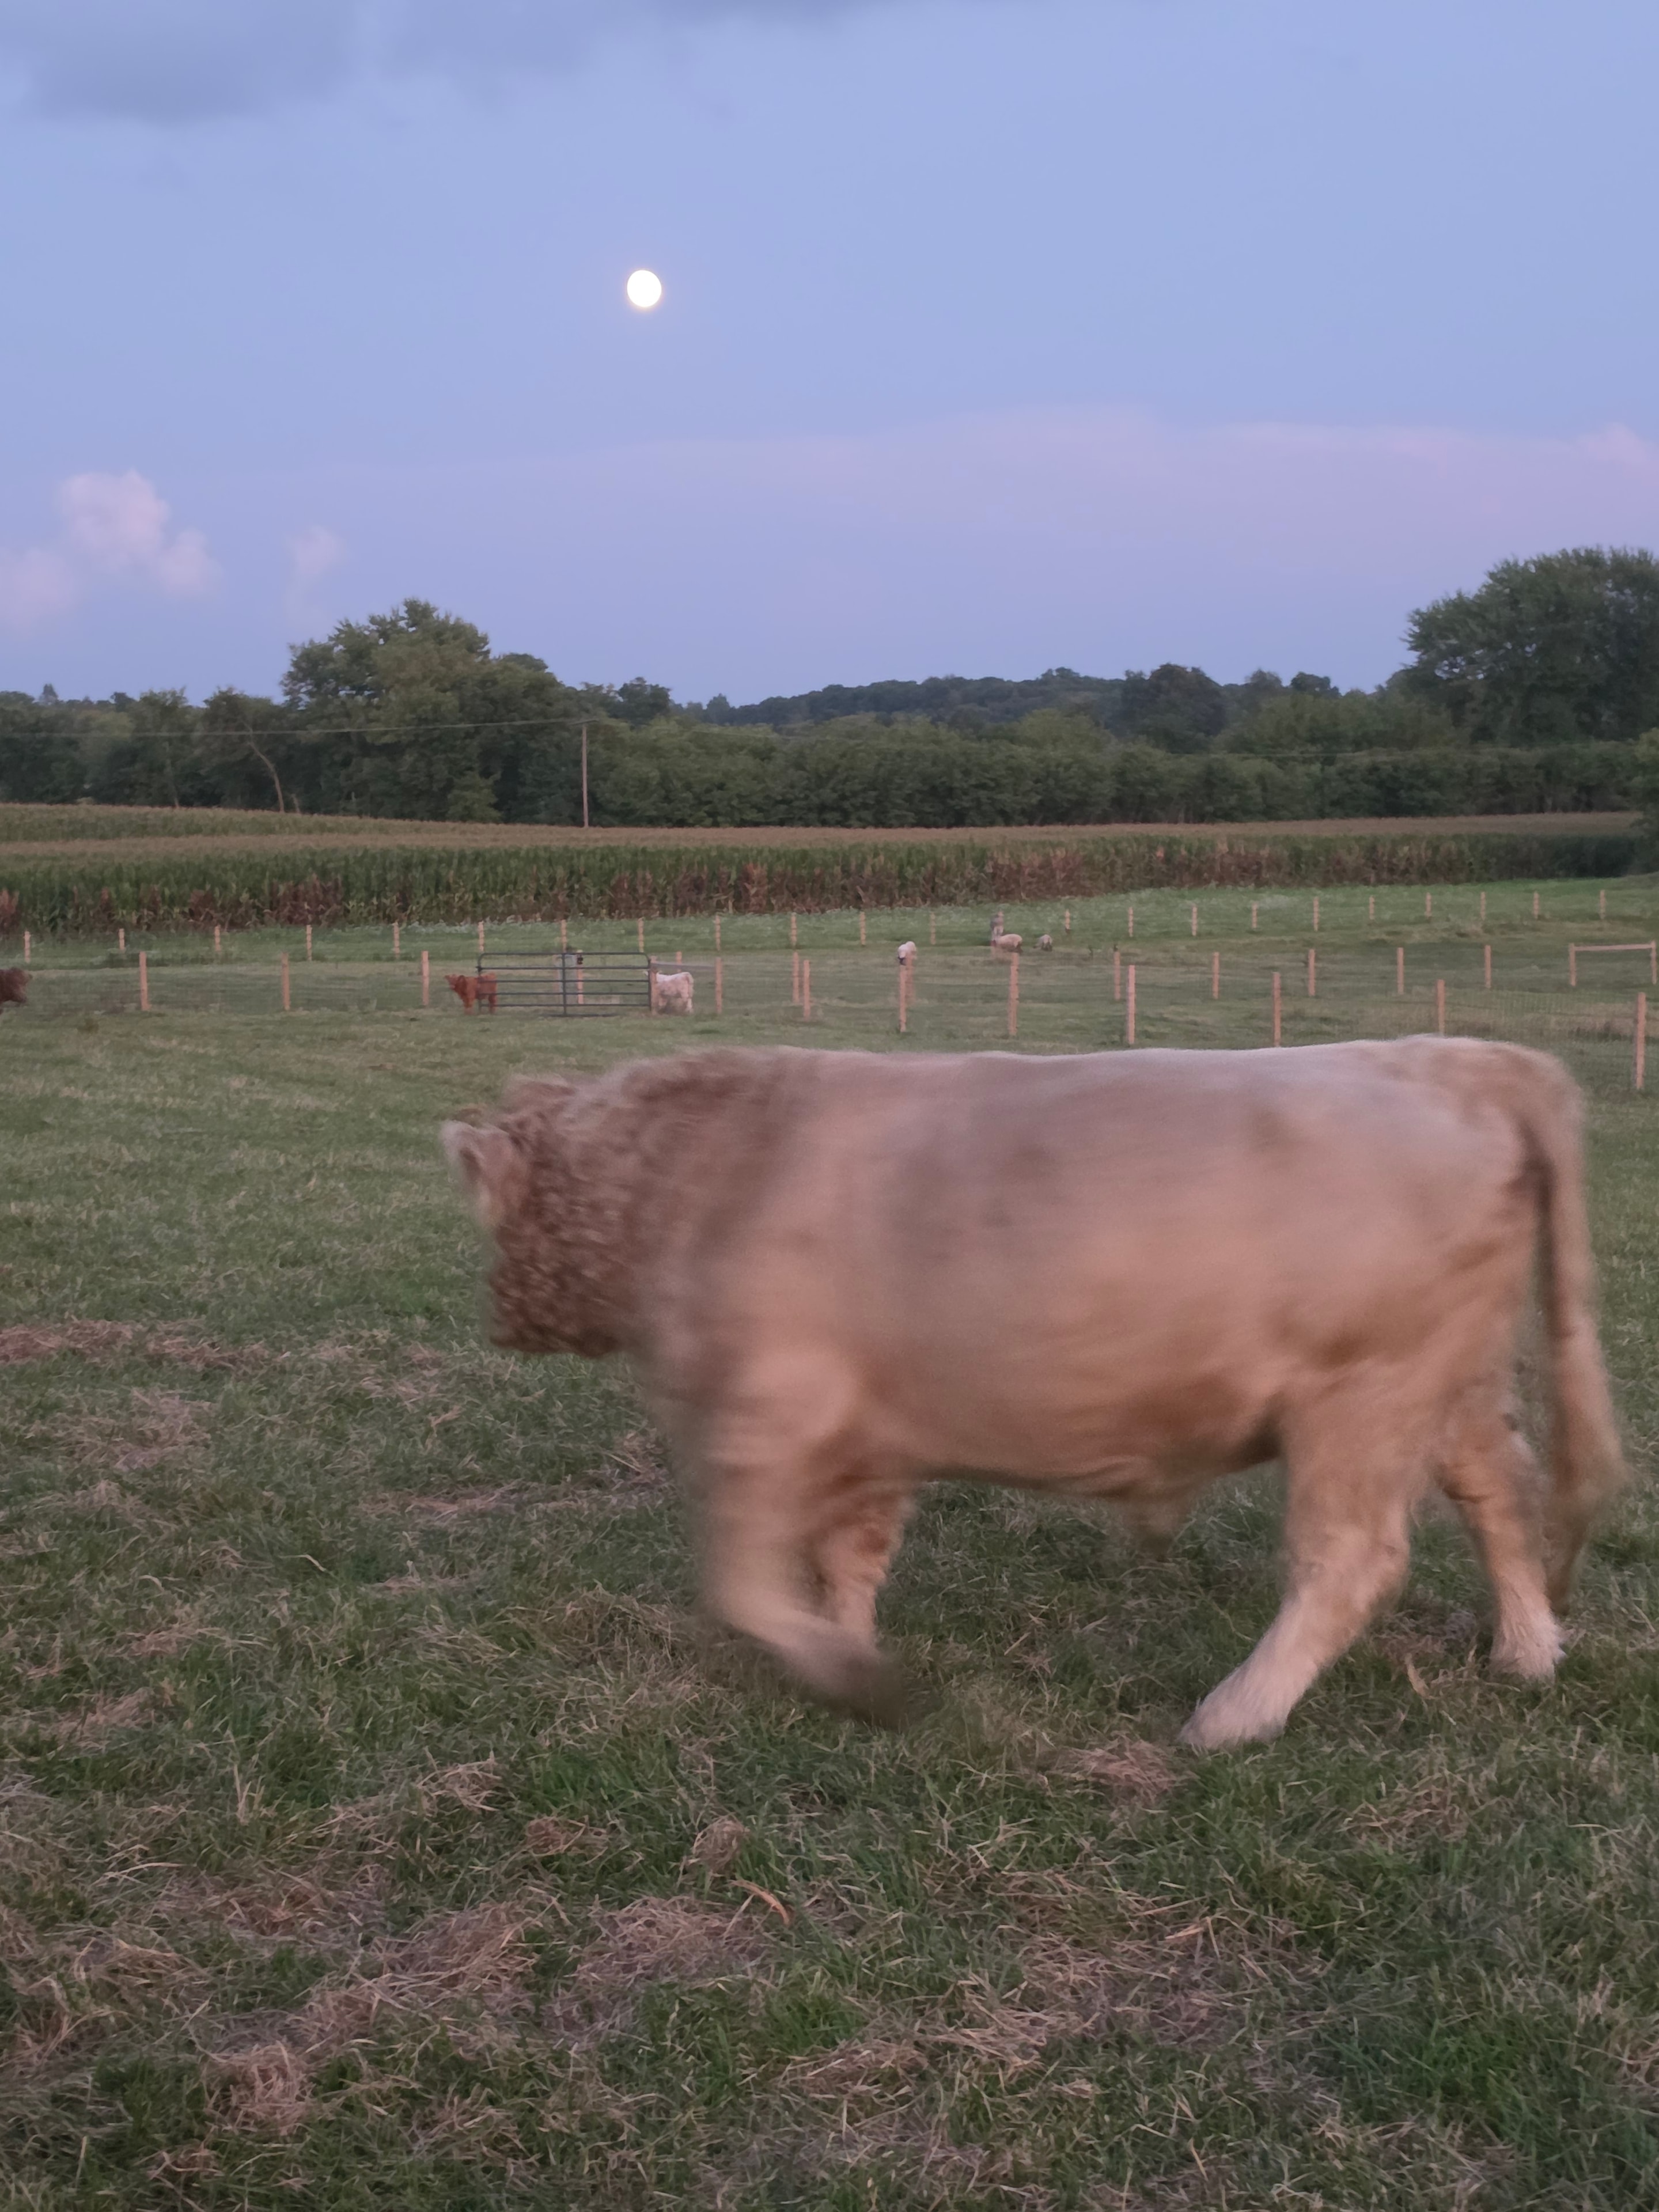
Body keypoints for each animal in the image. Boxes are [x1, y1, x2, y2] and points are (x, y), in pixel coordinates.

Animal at [442, 1038, 1625, 1749]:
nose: (494, 1311)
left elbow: (740, 1581)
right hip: (1448, 1380)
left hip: (1361, 1397)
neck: (698, 1173)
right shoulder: (859, 1438)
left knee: (1352, 1561)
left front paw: (850, 1679)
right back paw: (1526, 1652)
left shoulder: (762, 1417)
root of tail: (1456, 1057)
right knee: (1500, 1487)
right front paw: (852, 1643)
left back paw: (1232, 1717)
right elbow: (847, 1560)